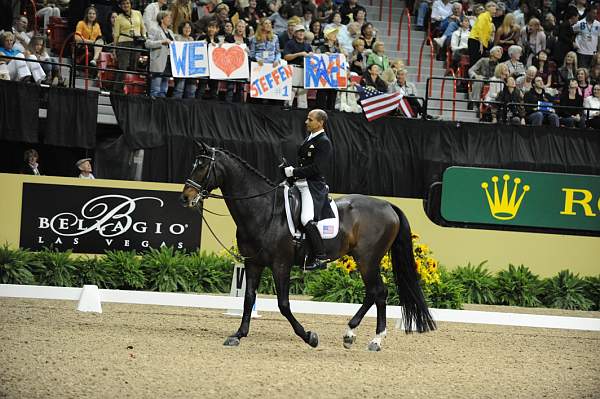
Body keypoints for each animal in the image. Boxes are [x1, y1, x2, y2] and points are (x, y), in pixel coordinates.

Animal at [179, 142, 436, 352]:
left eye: (202, 167)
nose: (185, 198)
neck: (263, 210)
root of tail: (388, 205)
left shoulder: (280, 264)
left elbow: (283, 305)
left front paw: (309, 337)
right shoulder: (253, 263)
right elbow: (248, 298)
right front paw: (238, 335)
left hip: (368, 259)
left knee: (379, 292)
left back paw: (374, 339)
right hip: (365, 259)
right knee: (374, 293)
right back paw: (351, 335)